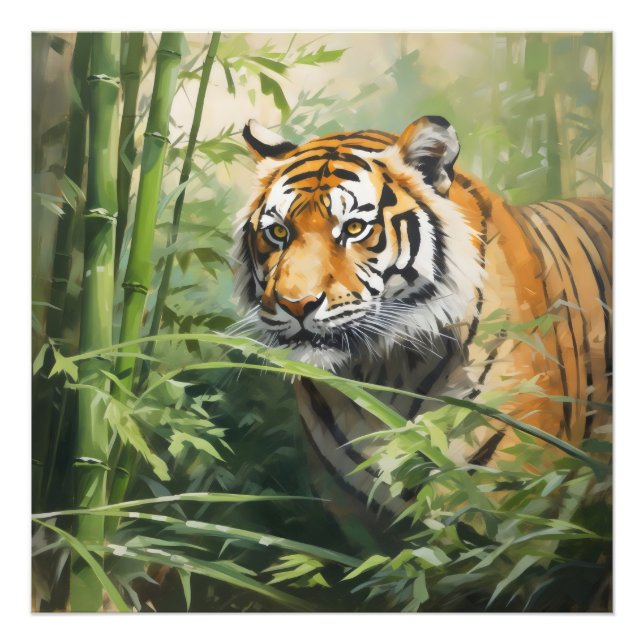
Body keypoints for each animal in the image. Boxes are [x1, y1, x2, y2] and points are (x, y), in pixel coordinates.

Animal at [232, 116, 612, 539]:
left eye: (355, 228)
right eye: (279, 232)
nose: (295, 304)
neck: (386, 372)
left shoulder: (519, 506)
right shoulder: (355, 516)